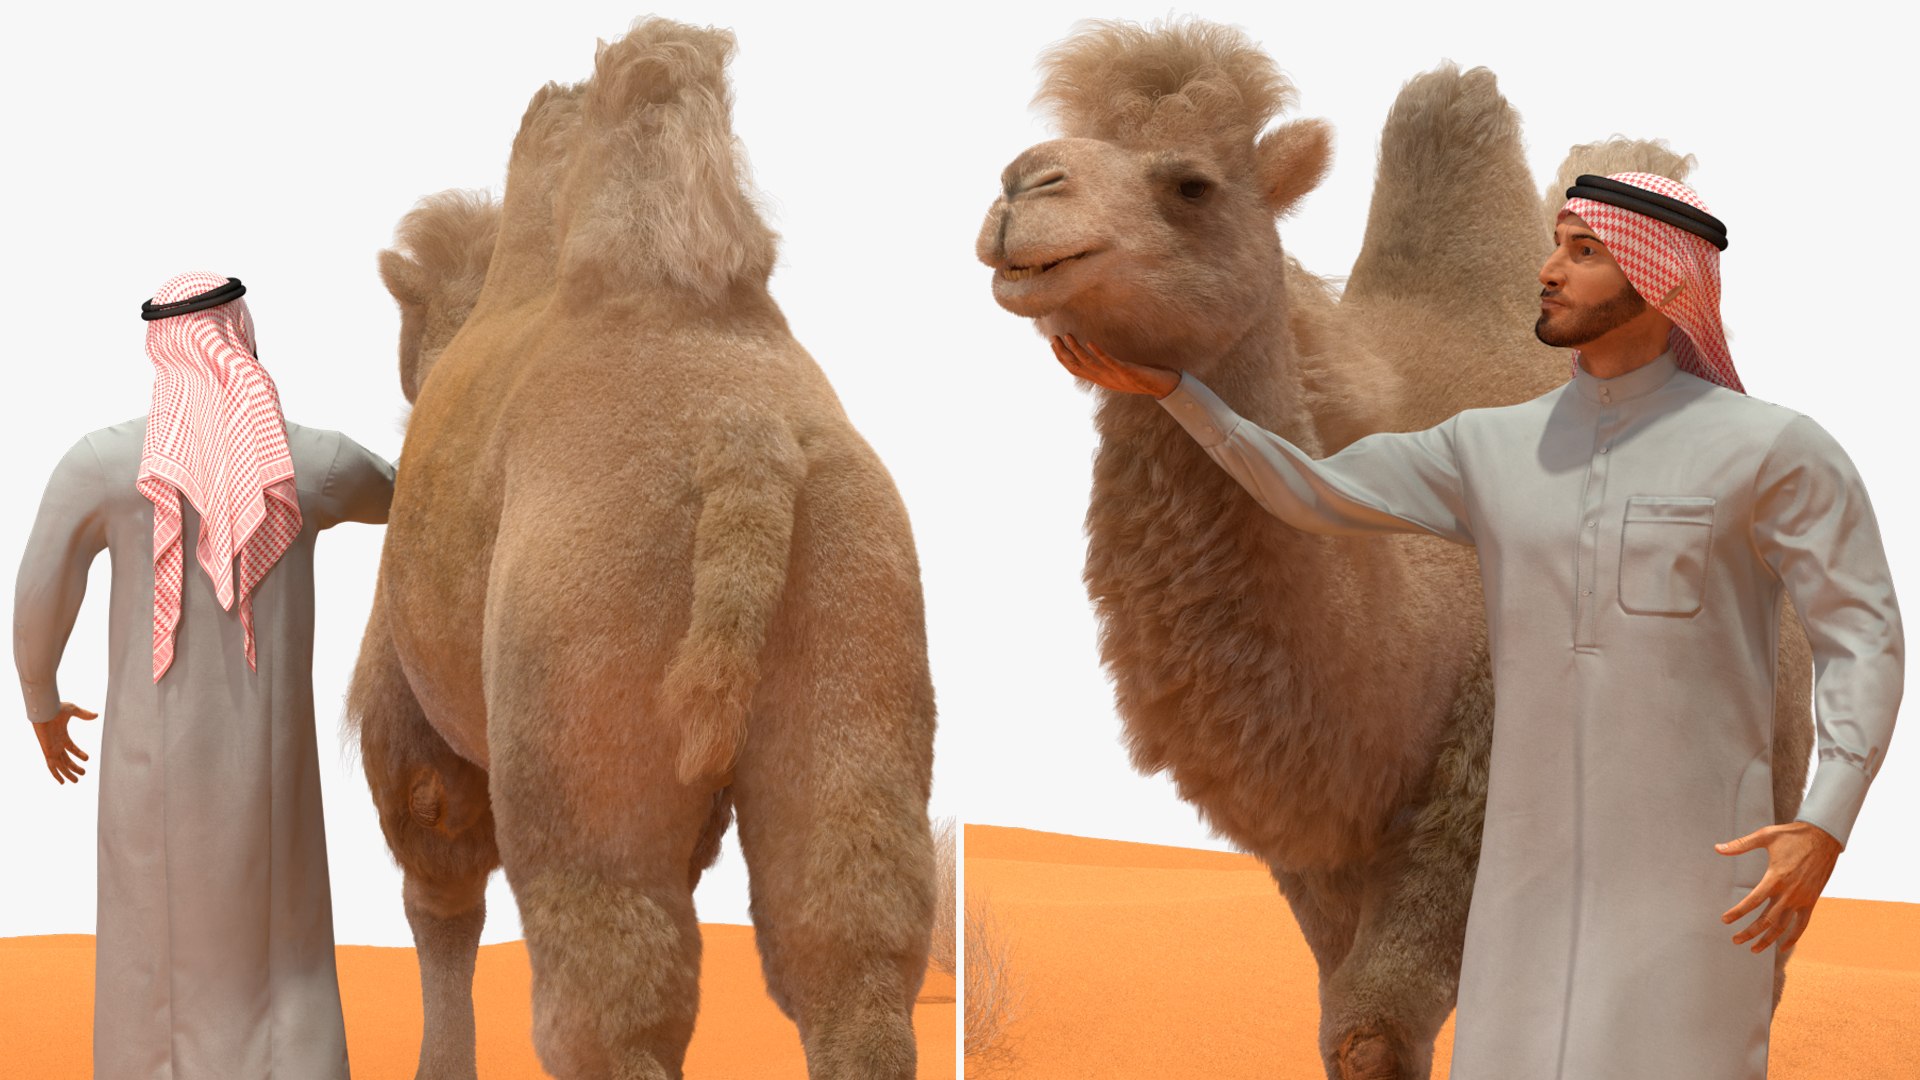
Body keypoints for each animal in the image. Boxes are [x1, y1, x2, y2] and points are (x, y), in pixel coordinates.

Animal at [348, 19, 937, 1080]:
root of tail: (741, 436)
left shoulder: (412, 720)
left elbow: (439, 895)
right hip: (859, 622)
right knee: (844, 939)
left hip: (582, 686)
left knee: (605, 978)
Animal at [977, 19, 1813, 1079]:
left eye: (1192, 183)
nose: (1021, 186)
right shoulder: (1316, 847)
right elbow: (1343, 1017)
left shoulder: (1476, 782)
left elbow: (1375, 1025)